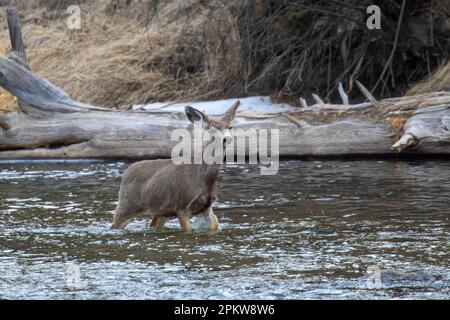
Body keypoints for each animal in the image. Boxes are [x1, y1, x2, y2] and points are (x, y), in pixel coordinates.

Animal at [111, 101, 241, 231]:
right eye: (212, 128)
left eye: (230, 127)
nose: (227, 139)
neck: (204, 178)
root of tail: (126, 172)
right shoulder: (182, 205)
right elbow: (187, 230)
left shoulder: (206, 205)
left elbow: (214, 225)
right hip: (126, 204)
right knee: (115, 224)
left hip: (160, 211)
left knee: (153, 224)